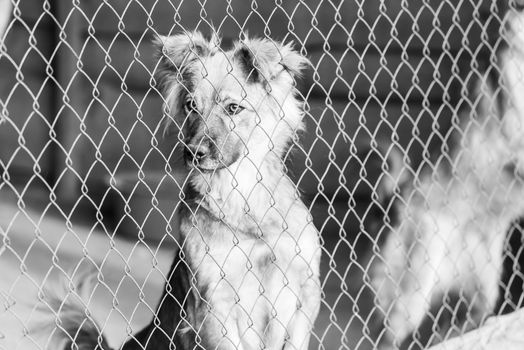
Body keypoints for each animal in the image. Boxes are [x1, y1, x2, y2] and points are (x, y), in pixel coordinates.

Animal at [34, 30, 322, 350]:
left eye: (234, 108)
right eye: (190, 106)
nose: (193, 152)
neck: (241, 196)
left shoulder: (305, 289)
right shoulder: (213, 301)